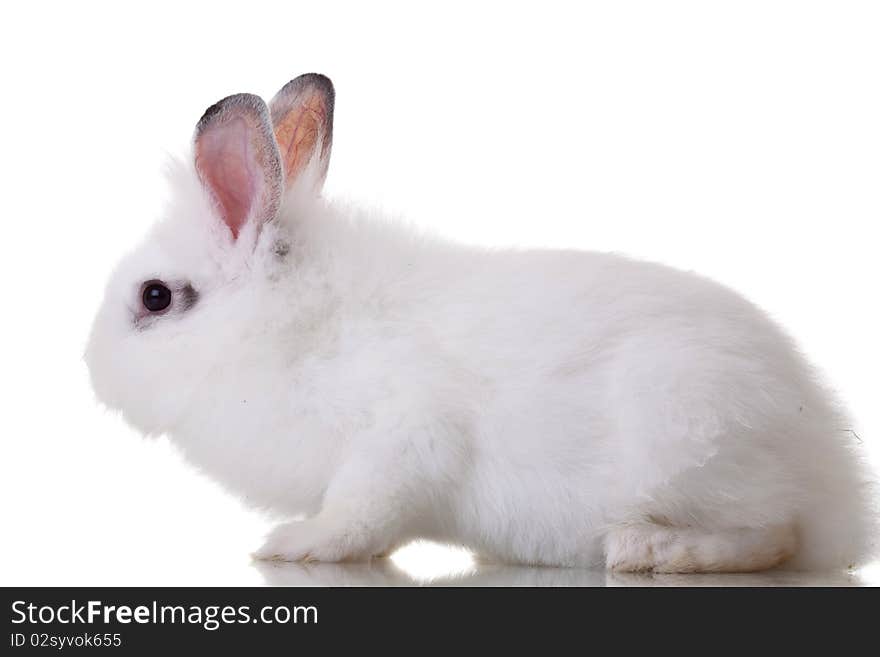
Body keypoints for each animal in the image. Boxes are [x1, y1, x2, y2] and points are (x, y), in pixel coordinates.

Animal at [86, 74, 868, 572]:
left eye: (155, 298)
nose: (92, 369)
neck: (292, 326)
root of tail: (837, 480)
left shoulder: (400, 443)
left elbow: (359, 514)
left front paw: (297, 542)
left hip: (687, 433)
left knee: (775, 534)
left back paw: (649, 551)